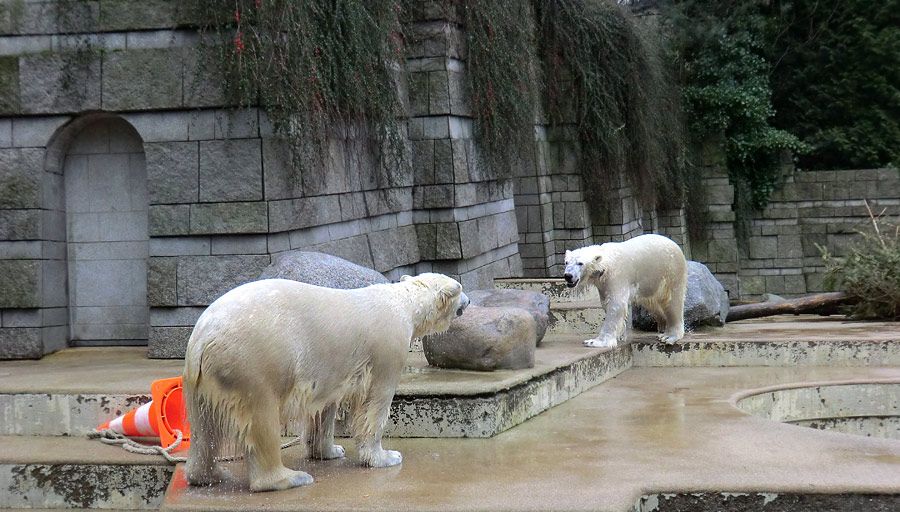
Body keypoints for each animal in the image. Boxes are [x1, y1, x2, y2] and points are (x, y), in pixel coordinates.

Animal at [179, 272, 468, 492]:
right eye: (460, 288)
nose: (469, 299)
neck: (404, 303)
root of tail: (204, 337)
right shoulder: (388, 347)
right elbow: (374, 404)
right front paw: (385, 457)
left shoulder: (329, 371)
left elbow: (324, 409)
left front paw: (331, 450)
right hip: (253, 363)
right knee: (260, 421)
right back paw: (290, 478)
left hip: (200, 379)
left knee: (204, 429)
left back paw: (212, 475)